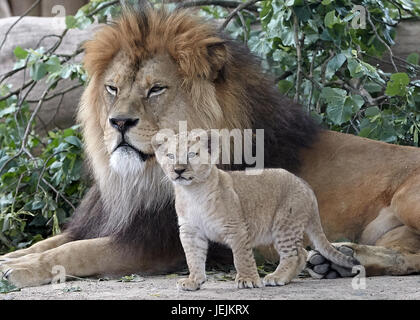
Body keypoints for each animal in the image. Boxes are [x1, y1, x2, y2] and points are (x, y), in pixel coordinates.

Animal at [0, 6, 420, 288]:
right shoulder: (109, 222)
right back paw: (339, 260)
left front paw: (20, 271)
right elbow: (50, 241)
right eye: (112, 88)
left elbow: (74, 251)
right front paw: (11, 257)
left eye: (156, 89)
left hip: (408, 198)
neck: (139, 179)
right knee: (406, 253)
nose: (118, 122)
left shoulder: (156, 244)